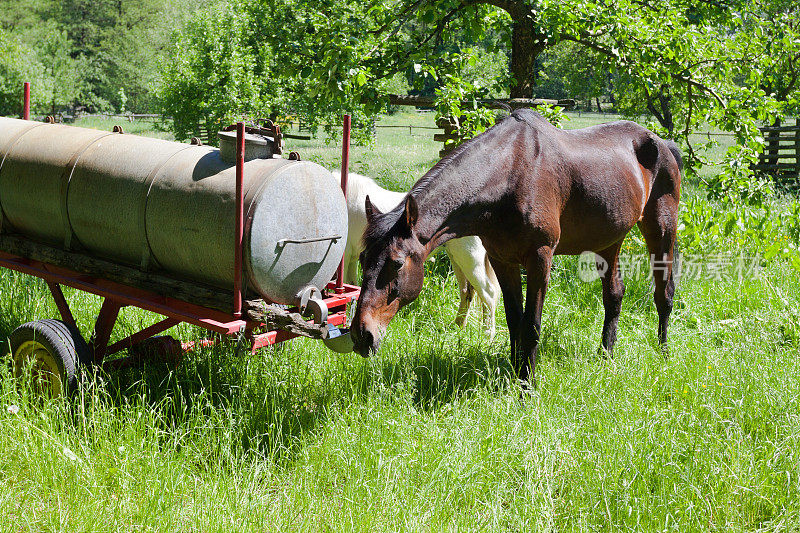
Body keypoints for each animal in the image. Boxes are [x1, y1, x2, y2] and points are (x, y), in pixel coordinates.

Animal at [340, 170, 500, 338]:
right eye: (363, 258)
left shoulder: (345, 257)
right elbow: (352, 287)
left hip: (470, 258)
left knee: (488, 292)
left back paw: (487, 335)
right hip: (457, 258)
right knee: (467, 291)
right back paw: (457, 327)